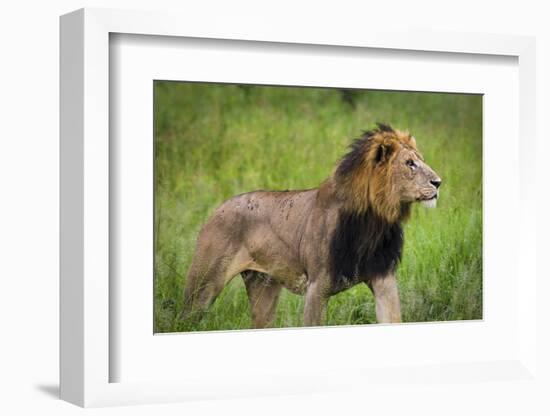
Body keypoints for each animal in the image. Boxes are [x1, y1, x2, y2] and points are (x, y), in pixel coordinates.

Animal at [181, 123, 444, 328]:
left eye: (421, 161)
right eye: (410, 163)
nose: (439, 182)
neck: (374, 221)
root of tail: (217, 209)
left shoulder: (383, 278)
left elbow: (392, 317)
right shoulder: (317, 287)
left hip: (263, 286)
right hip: (204, 285)